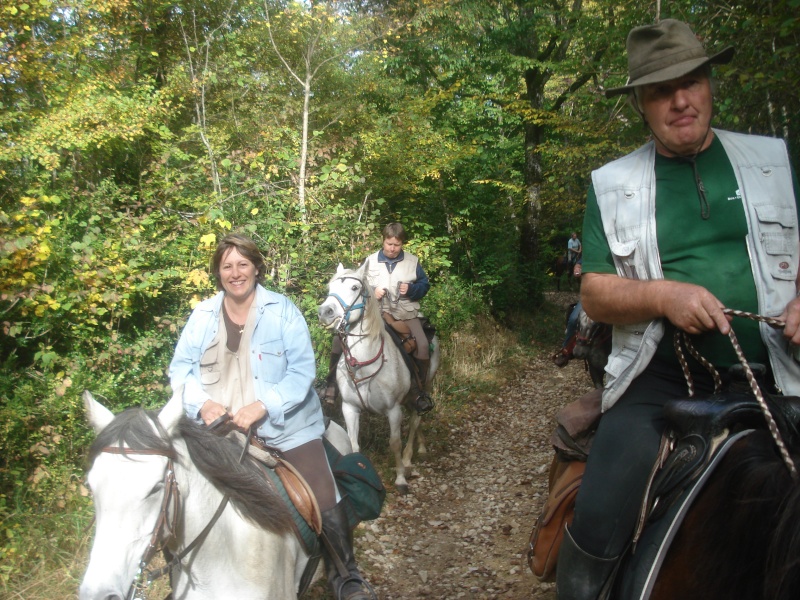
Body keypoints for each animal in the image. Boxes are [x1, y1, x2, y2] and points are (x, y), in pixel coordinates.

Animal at [318, 262, 440, 492]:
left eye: (355, 288)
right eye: (330, 287)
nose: (324, 312)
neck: (364, 363)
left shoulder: (393, 410)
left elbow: (395, 442)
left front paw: (400, 478)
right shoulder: (350, 408)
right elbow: (353, 442)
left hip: (425, 385)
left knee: (415, 420)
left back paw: (408, 459)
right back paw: (421, 446)